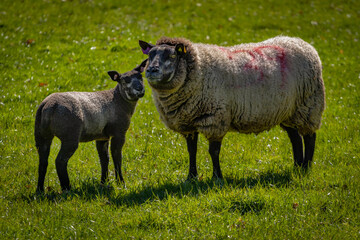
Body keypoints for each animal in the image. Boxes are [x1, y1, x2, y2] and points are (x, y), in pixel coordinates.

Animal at [35, 60, 148, 191]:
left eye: (140, 77)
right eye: (125, 81)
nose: (140, 89)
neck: (118, 99)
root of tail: (49, 106)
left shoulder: (102, 137)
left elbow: (104, 159)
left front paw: (104, 182)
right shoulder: (118, 133)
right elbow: (117, 157)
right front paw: (121, 183)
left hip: (41, 134)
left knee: (43, 162)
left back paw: (40, 190)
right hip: (70, 135)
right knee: (60, 161)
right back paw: (67, 188)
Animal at [140, 36, 326, 180]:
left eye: (171, 56)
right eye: (150, 55)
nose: (151, 70)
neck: (198, 70)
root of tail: (302, 43)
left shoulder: (215, 119)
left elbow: (213, 151)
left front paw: (217, 178)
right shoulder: (188, 123)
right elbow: (191, 151)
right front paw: (191, 177)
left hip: (309, 104)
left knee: (309, 137)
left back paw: (306, 169)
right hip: (288, 111)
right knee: (295, 138)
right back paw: (297, 167)